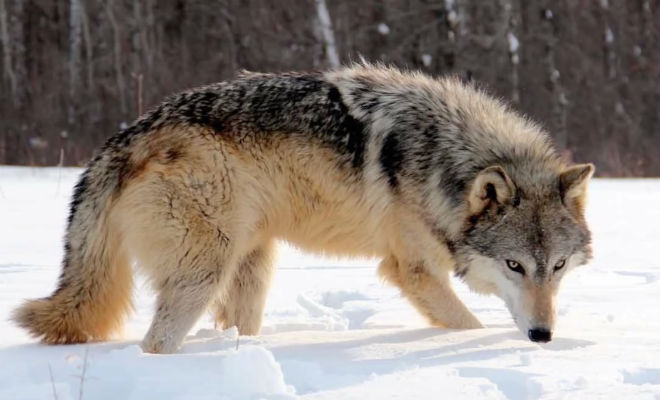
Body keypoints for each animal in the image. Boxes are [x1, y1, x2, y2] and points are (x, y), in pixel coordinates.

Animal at [12, 63, 596, 354]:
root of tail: (122, 139)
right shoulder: (411, 269)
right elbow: (467, 324)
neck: (440, 158)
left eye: (557, 267)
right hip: (204, 272)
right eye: (514, 265)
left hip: (252, 264)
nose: (542, 336)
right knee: (154, 344)